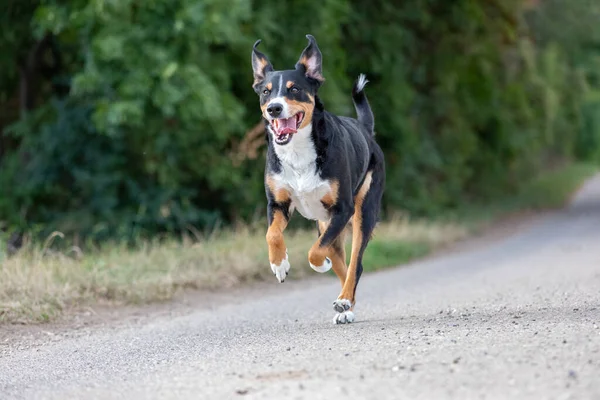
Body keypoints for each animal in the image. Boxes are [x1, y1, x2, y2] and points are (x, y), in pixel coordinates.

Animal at [251, 32, 386, 324]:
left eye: (294, 89)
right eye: (266, 91)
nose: (274, 109)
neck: (298, 152)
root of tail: (365, 130)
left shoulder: (342, 209)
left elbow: (315, 251)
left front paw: (318, 264)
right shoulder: (278, 204)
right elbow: (272, 234)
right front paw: (279, 265)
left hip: (361, 213)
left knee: (355, 264)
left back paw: (344, 301)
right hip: (327, 224)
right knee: (343, 264)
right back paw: (347, 307)